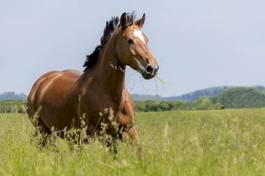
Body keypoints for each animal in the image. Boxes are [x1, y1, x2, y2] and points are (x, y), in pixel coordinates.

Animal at [27, 11, 159, 145]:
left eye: (146, 40)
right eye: (130, 40)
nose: (152, 68)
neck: (112, 97)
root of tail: (40, 83)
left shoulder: (128, 131)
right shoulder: (95, 135)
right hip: (45, 132)